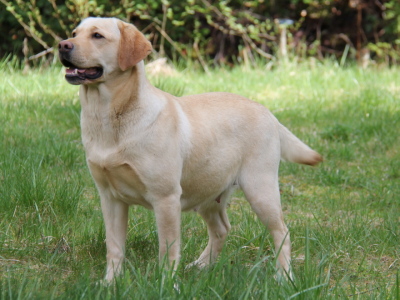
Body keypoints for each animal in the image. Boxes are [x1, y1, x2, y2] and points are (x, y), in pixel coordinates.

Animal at [58, 17, 322, 282]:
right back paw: (202, 265)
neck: (108, 117)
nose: (62, 45)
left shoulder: (166, 198)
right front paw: (110, 282)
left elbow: (168, 250)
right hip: (208, 191)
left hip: (260, 190)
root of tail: (268, 112)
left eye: (97, 36)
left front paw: (166, 284)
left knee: (282, 232)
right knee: (222, 229)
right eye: (74, 33)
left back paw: (284, 276)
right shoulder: (110, 198)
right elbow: (114, 246)